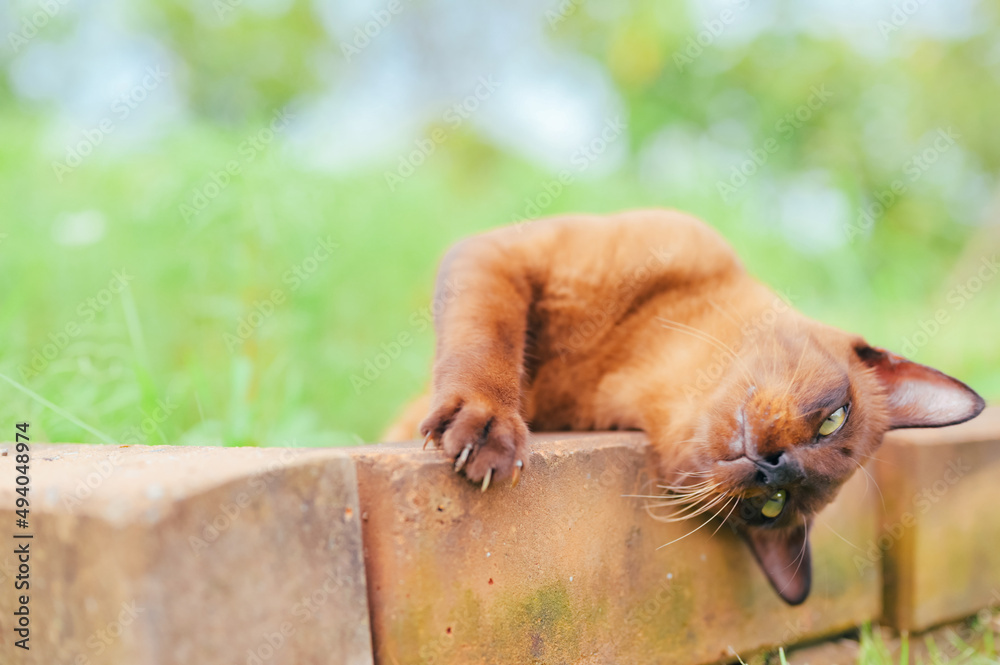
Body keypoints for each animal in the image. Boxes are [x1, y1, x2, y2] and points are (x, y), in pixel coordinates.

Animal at [398, 210, 984, 604]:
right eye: (834, 420)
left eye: (772, 507)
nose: (776, 467)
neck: (631, 365)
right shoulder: (504, 257)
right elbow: (488, 344)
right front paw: (487, 429)